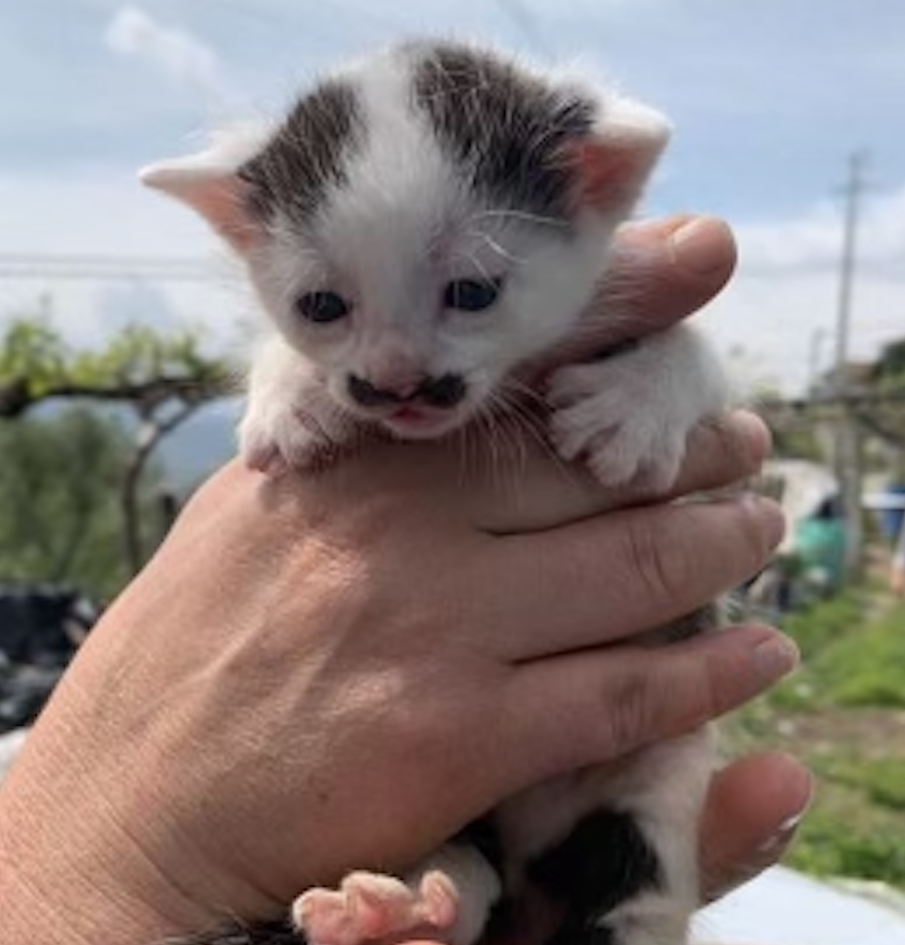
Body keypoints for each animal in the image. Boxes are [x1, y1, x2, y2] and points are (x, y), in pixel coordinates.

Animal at [145, 37, 732, 944]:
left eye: (473, 292)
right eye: (321, 305)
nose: (395, 384)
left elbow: (695, 353)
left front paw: (635, 404)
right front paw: (287, 396)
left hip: (654, 766)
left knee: (635, 876)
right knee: (465, 871)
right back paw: (398, 907)